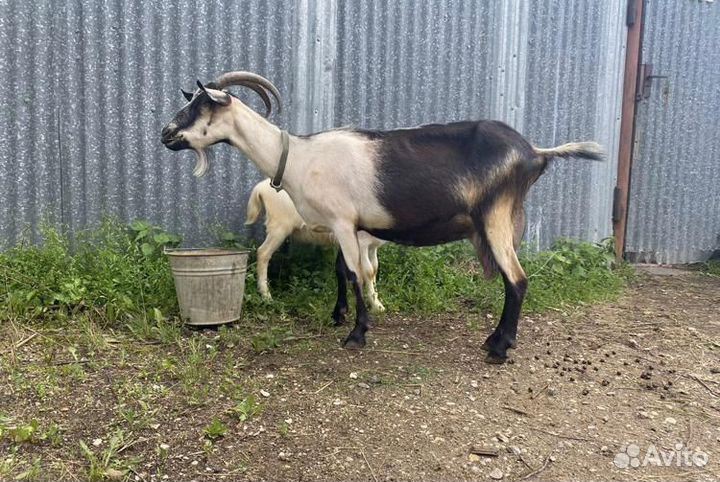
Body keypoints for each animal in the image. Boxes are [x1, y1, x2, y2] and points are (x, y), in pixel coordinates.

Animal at [245, 178, 385, 314]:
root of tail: (261, 187)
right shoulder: (362, 243)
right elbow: (368, 272)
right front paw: (376, 305)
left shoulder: (372, 246)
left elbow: (374, 268)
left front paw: (375, 301)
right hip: (279, 227)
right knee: (263, 253)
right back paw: (266, 296)